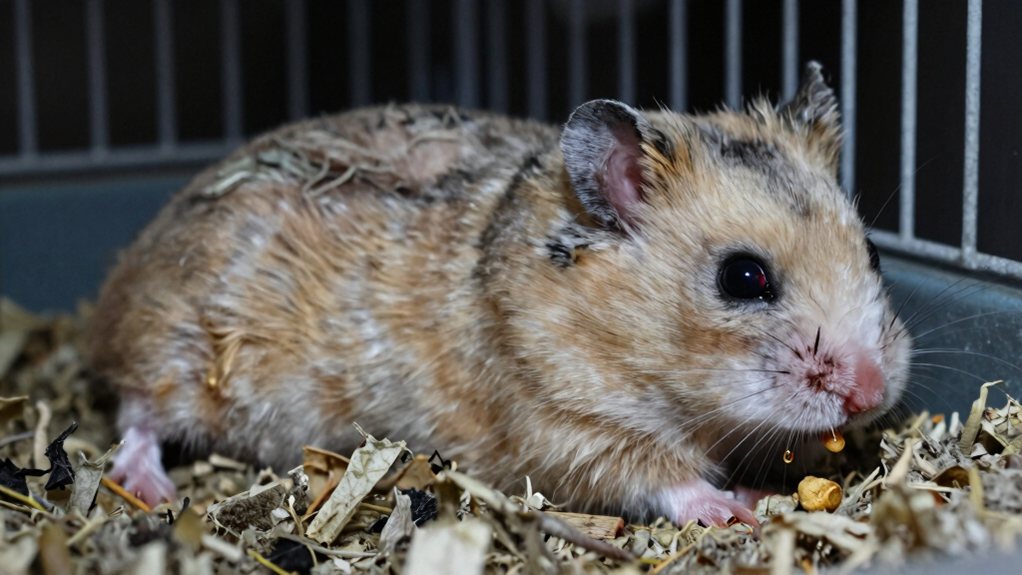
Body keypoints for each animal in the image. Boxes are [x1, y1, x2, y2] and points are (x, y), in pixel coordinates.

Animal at [86, 62, 910, 526]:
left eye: (872, 250)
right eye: (743, 277)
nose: (872, 394)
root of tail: (126, 271)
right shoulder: (564, 425)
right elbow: (659, 477)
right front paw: (739, 506)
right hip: (178, 350)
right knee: (135, 413)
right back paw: (150, 489)